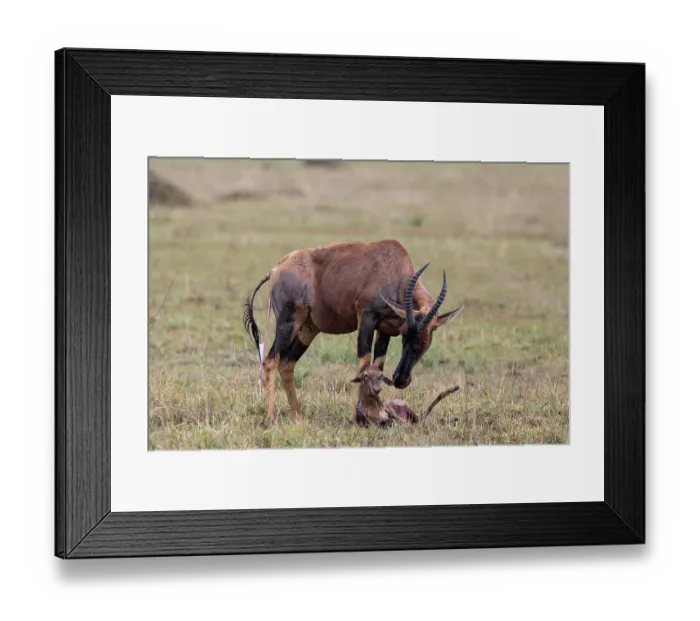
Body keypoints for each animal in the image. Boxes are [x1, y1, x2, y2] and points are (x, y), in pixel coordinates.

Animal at [242, 239, 463, 427]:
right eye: (408, 338)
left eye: (422, 339)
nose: (400, 380)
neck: (393, 266)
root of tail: (276, 269)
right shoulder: (366, 319)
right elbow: (363, 366)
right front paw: (357, 418)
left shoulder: (385, 330)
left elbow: (377, 366)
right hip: (288, 322)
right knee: (270, 361)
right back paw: (270, 418)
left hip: (308, 329)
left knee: (287, 363)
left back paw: (298, 417)